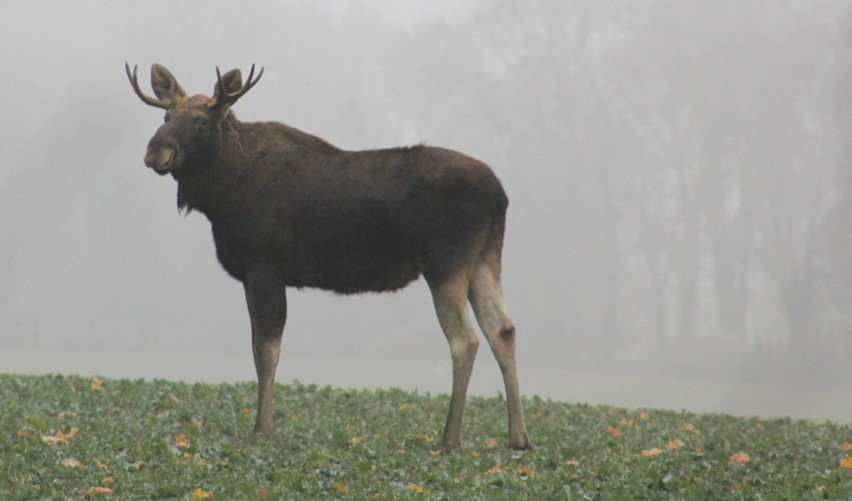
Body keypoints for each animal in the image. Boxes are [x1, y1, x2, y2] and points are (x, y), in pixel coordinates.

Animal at [125, 62, 532, 450]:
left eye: (201, 121)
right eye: (165, 116)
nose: (155, 152)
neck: (221, 195)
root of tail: (500, 195)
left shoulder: (264, 264)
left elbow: (265, 349)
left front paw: (262, 429)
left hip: (445, 261)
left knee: (465, 340)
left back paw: (450, 438)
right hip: (485, 257)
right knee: (503, 329)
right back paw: (518, 437)